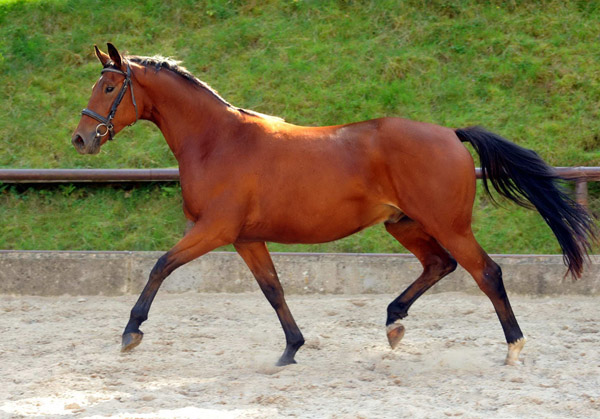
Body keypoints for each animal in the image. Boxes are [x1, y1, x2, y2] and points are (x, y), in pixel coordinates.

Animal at [70, 43, 596, 368]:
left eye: (110, 88)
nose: (81, 139)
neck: (218, 141)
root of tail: (450, 133)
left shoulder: (214, 230)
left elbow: (160, 265)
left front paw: (131, 333)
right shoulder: (246, 238)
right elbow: (274, 290)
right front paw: (291, 350)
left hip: (447, 224)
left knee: (486, 272)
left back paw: (513, 349)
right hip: (404, 224)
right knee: (440, 265)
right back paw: (394, 323)